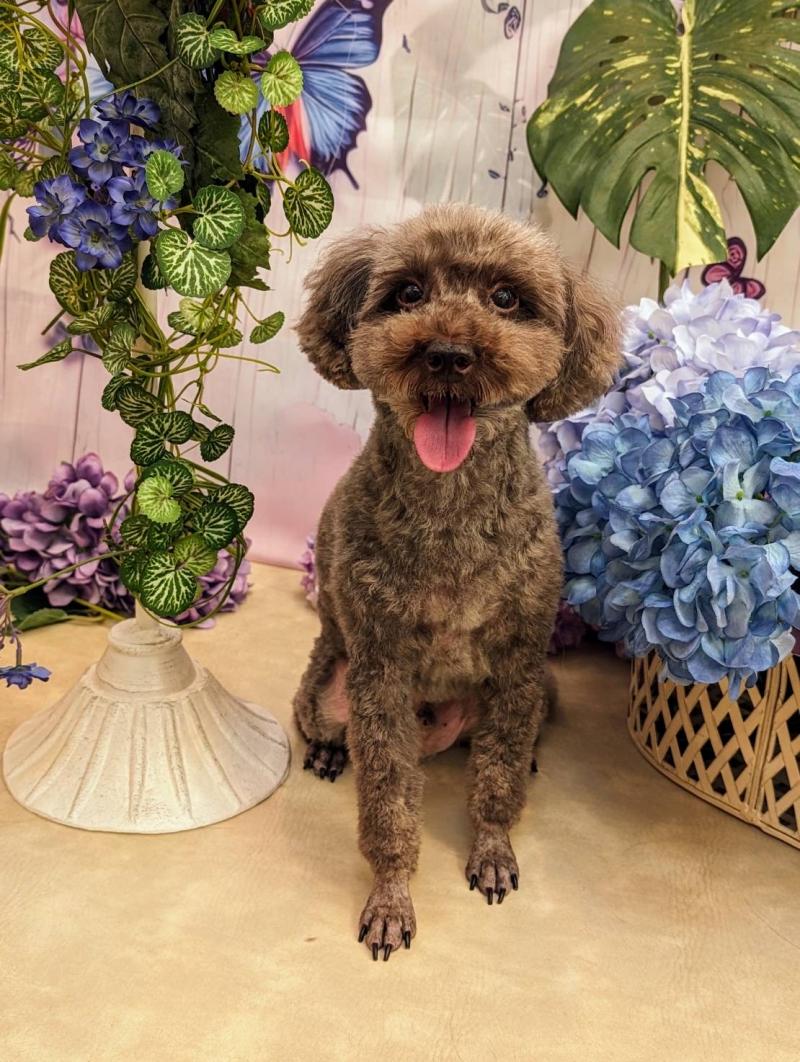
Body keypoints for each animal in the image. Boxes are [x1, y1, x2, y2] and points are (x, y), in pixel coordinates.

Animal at [292, 204, 621, 960]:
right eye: (408, 293)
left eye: (505, 299)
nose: (447, 354)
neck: (450, 510)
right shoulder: (380, 668)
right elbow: (387, 797)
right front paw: (391, 897)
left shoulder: (521, 657)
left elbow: (497, 777)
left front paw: (493, 849)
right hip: (327, 689)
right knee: (330, 726)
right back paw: (326, 752)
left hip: (542, 690)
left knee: (504, 742)